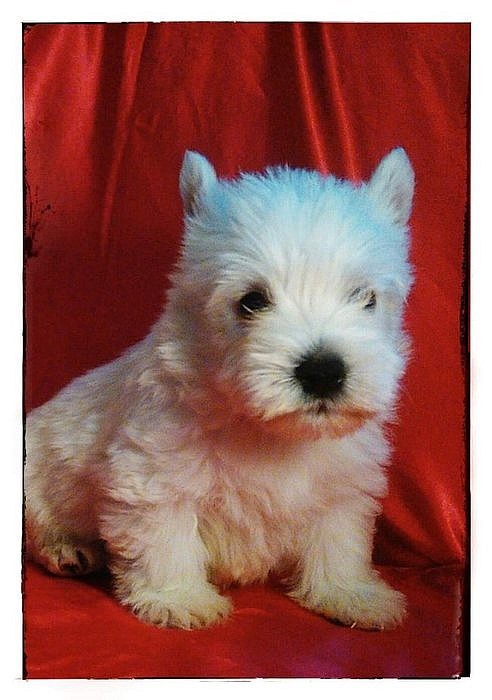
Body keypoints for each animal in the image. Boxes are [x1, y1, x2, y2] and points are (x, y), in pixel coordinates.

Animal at [25, 148, 414, 630]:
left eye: (365, 297)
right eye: (252, 301)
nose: (323, 372)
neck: (266, 431)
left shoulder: (341, 486)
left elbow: (338, 539)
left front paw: (350, 594)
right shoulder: (153, 475)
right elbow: (166, 538)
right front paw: (178, 598)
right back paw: (67, 548)